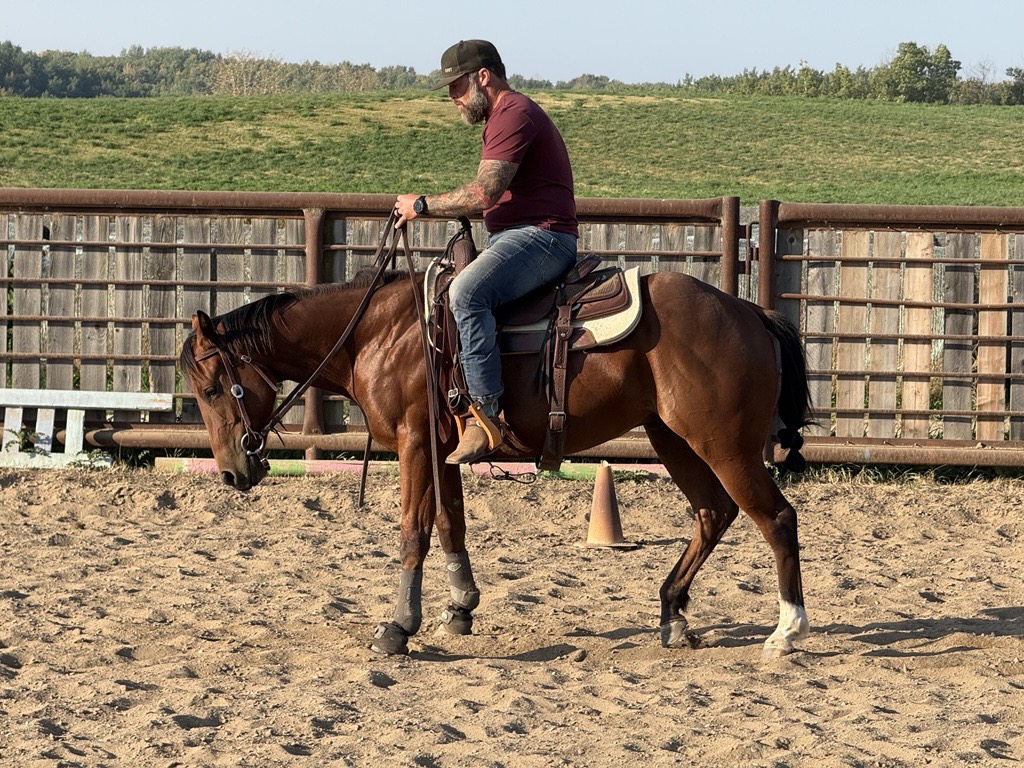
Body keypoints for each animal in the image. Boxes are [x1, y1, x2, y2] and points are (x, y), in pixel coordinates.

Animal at [179, 261, 813, 660]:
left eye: (210, 389)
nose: (233, 471)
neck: (377, 332)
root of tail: (748, 311)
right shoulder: (444, 450)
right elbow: (450, 525)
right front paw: (461, 608)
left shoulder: (414, 443)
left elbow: (414, 531)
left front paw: (397, 627)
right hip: (673, 439)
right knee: (713, 514)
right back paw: (673, 614)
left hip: (722, 444)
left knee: (776, 518)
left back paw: (786, 631)